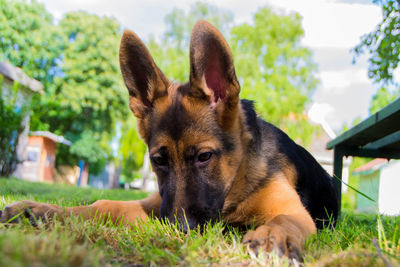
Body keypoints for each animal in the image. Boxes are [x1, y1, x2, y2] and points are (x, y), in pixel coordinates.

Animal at [0, 20, 338, 262]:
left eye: (204, 157)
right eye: (158, 160)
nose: (179, 229)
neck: (234, 186)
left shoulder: (295, 212)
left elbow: (285, 220)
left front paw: (271, 238)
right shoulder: (156, 203)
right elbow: (104, 204)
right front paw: (41, 210)